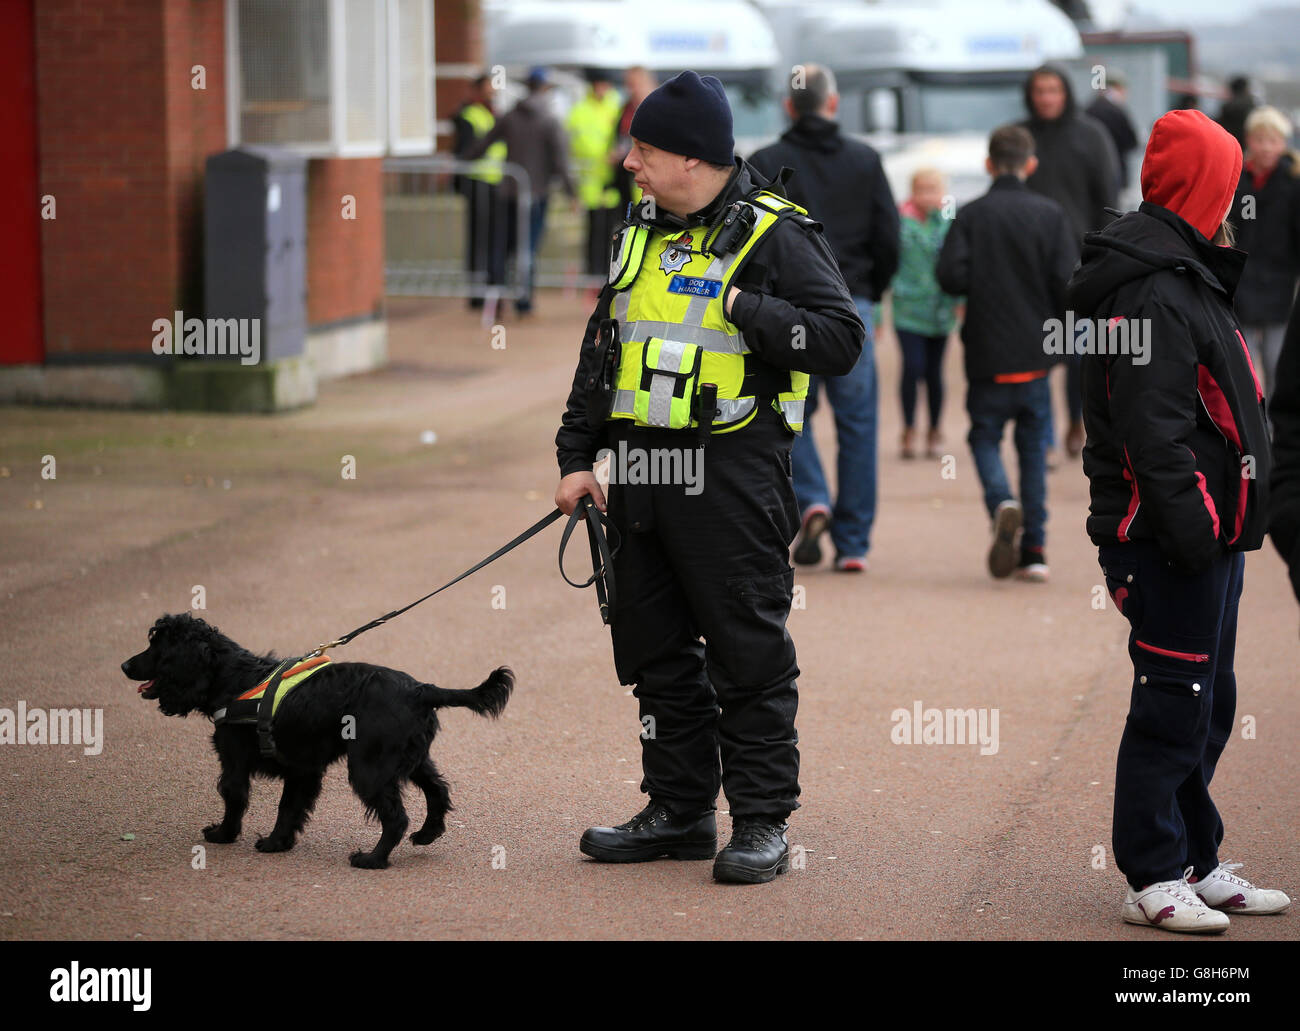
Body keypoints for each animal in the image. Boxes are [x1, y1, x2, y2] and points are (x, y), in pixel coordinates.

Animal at [124, 616, 512, 863]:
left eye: (156, 645)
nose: (125, 665)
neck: (233, 676)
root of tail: (419, 689)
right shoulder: (302, 770)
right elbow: (289, 807)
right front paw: (278, 842)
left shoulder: (236, 761)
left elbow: (235, 797)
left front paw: (224, 834)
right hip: (410, 759)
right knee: (438, 791)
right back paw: (427, 834)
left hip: (369, 767)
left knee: (396, 817)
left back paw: (372, 859)